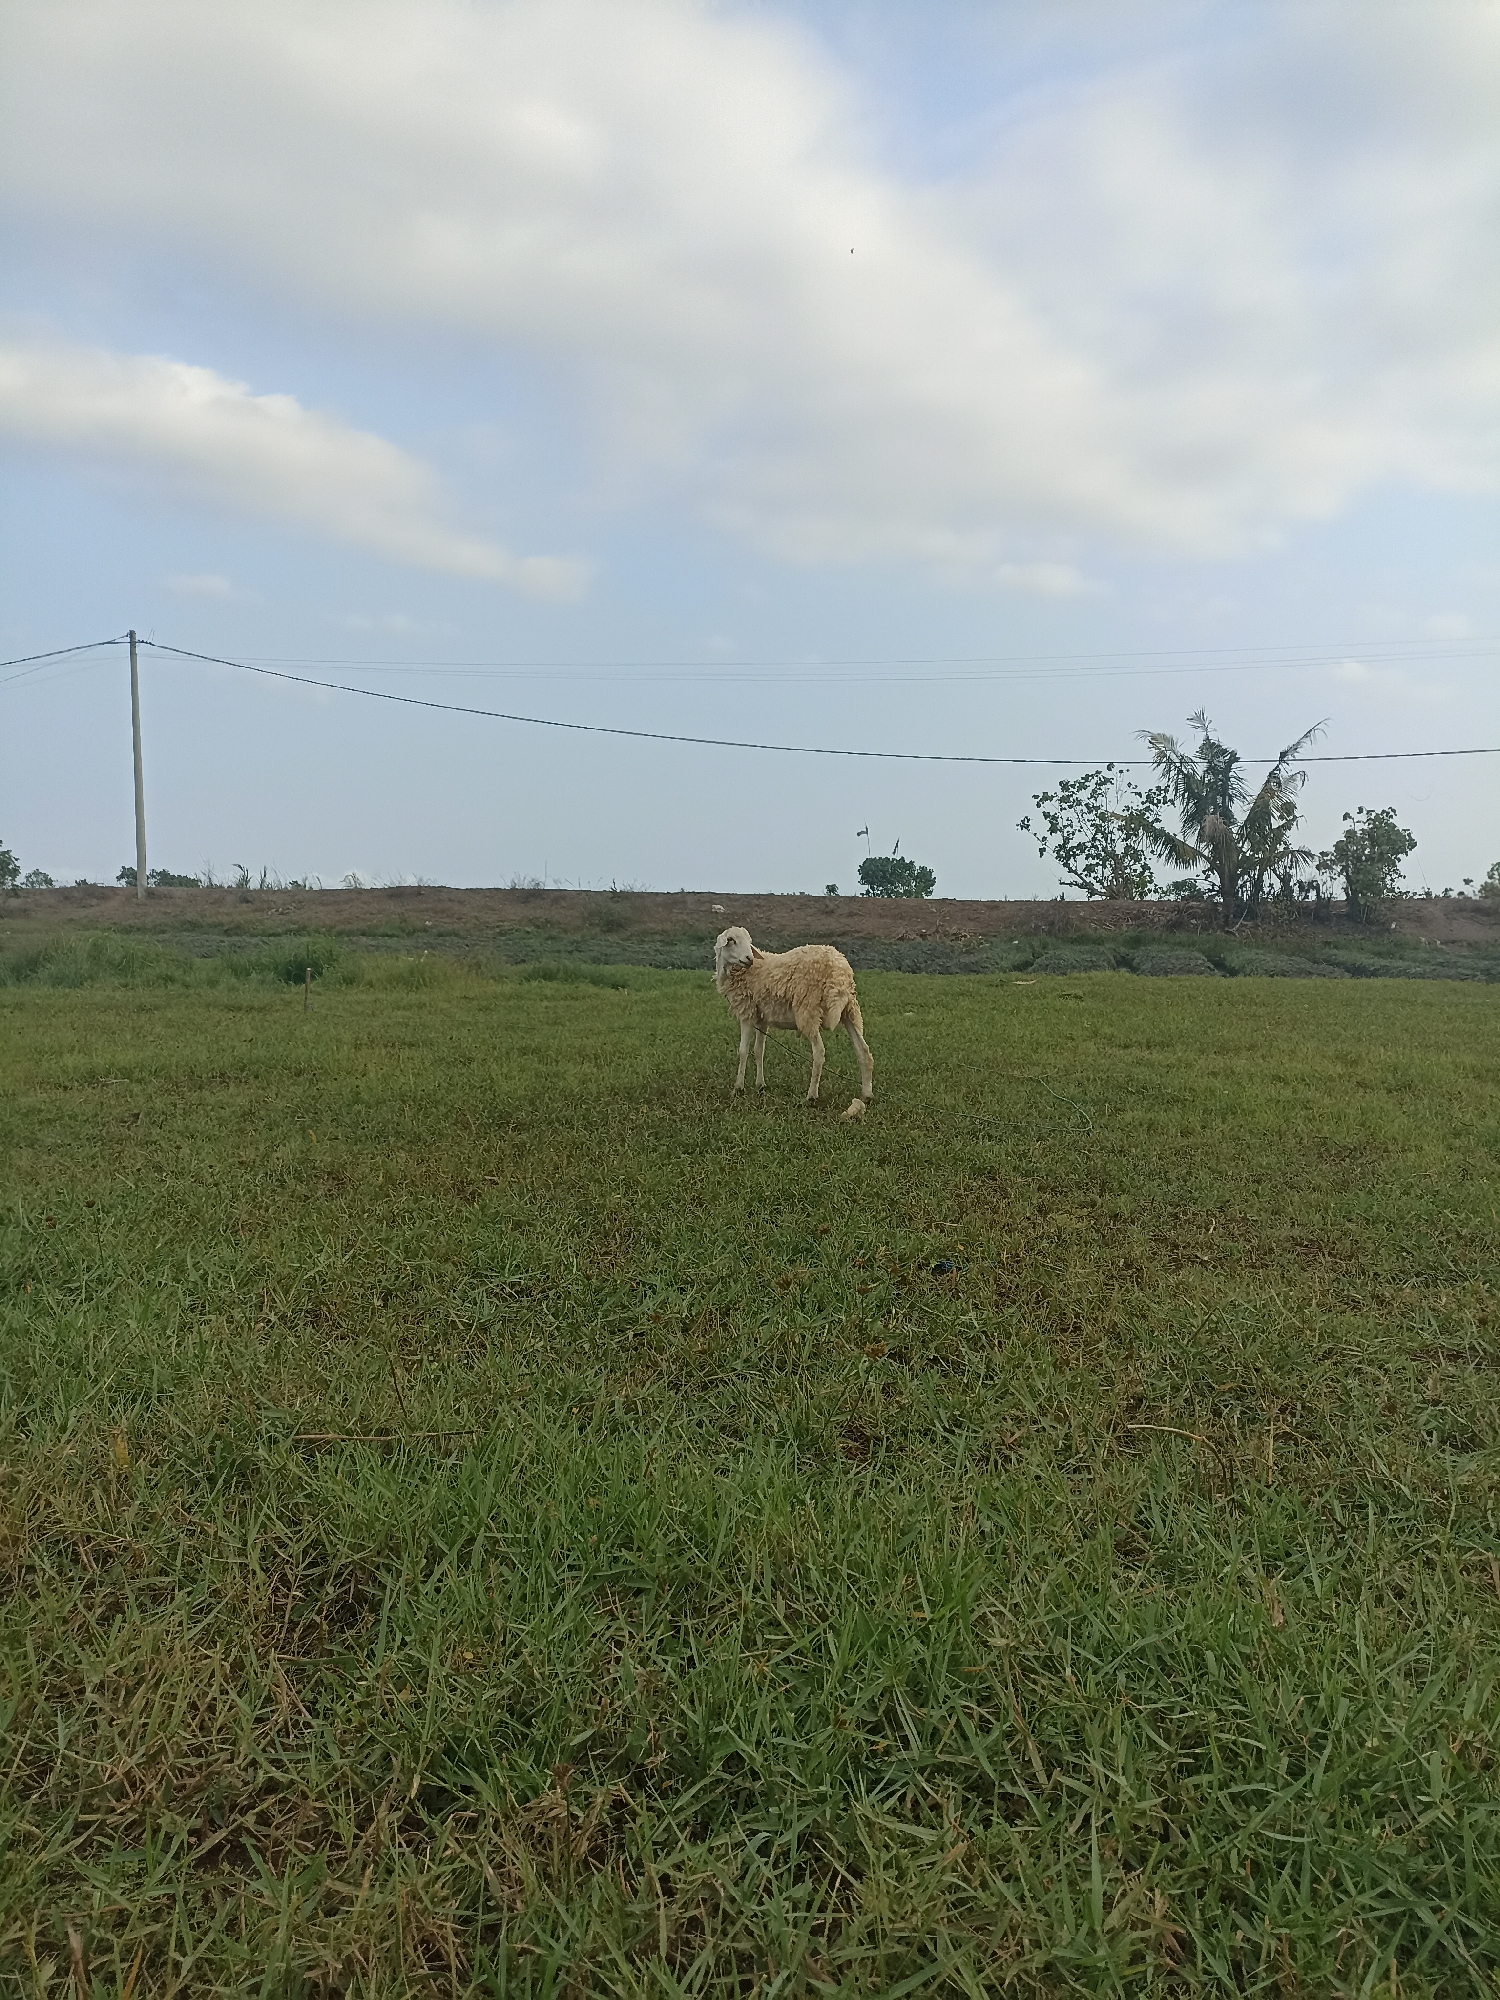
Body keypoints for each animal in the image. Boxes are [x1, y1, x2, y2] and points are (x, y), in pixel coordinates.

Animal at [713, 925, 873, 1111]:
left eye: (748, 941)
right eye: (731, 940)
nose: (749, 958)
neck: (740, 971)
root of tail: (839, 972)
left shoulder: (747, 1012)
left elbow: (743, 1051)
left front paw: (738, 1088)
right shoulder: (763, 1018)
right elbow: (759, 1050)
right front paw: (760, 1085)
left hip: (808, 1010)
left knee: (819, 1052)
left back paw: (811, 1096)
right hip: (850, 1010)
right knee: (863, 1050)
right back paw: (867, 1095)